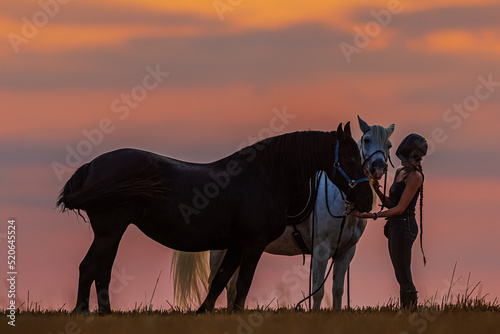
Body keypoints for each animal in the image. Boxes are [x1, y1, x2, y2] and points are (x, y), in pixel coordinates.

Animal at [57, 122, 372, 314]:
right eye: (349, 159)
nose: (367, 200)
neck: (265, 176)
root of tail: (92, 166)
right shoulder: (253, 243)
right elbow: (241, 282)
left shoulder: (235, 244)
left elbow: (221, 280)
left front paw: (203, 311)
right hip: (110, 231)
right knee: (91, 268)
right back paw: (86, 312)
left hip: (111, 232)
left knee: (99, 270)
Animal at [172, 117, 394, 310]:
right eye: (366, 140)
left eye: (389, 145)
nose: (378, 167)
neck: (339, 202)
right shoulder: (321, 250)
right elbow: (318, 292)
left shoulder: (345, 253)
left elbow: (337, 291)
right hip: (221, 250)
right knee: (218, 282)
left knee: (230, 284)